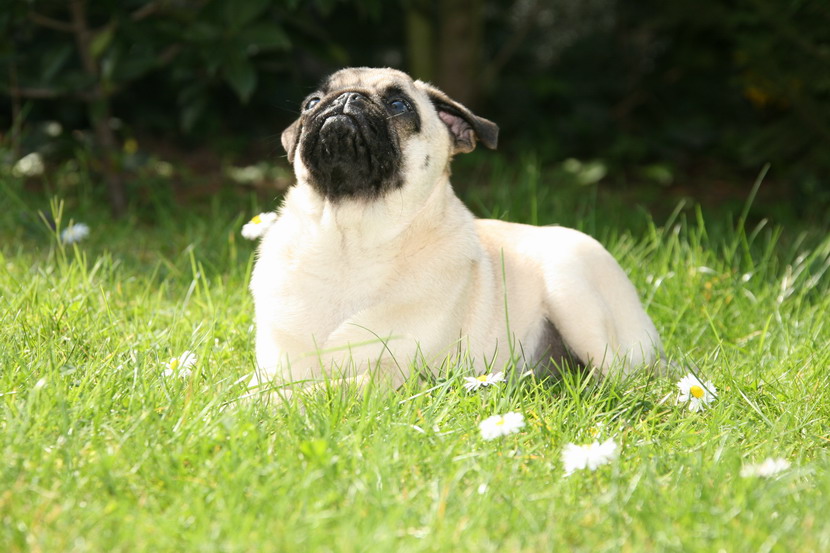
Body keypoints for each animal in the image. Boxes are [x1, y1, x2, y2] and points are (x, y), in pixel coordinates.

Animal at [250, 67, 668, 394]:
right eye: (311, 103)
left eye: (398, 105)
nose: (346, 99)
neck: (349, 244)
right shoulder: (275, 367)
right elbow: (276, 385)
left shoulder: (393, 375)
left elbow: (316, 389)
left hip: (573, 291)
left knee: (625, 377)